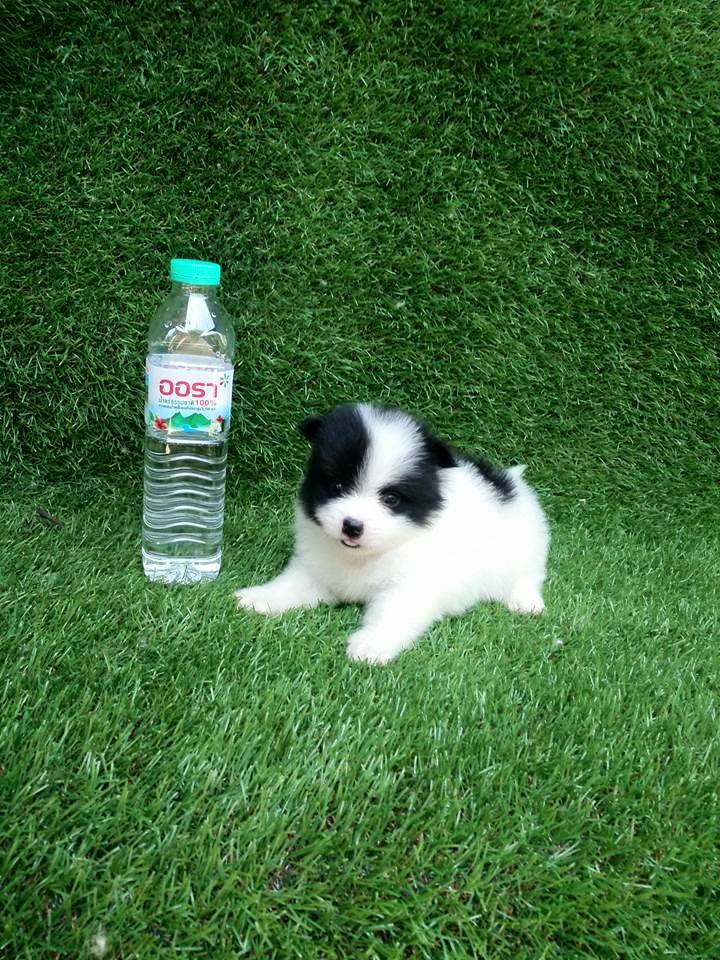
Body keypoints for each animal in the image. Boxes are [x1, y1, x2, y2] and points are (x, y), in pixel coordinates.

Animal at [235, 403, 550, 664]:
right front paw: (260, 597)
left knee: (529, 573)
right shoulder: (318, 569)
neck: (367, 554)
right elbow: (291, 585)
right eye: (337, 486)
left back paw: (525, 601)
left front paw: (371, 644)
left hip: (527, 542)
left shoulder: (410, 585)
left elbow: (392, 613)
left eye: (391, 499)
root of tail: (507, 481)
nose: (352, 525)